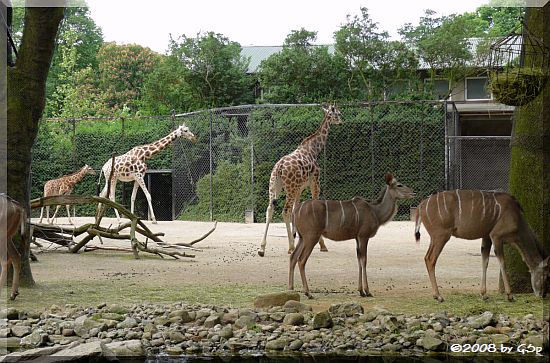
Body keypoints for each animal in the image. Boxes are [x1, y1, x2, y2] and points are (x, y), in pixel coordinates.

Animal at [258, 104, 342, 258]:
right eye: (338, 113)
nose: (341, 121)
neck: (314, 150)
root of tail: (279, 167)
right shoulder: (315, 182)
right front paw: (322, 245)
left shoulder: (299, 188)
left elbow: (295, 210)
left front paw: (297, 237)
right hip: (289, 188)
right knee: (284, 211)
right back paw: (290, 247)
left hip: (274, 186)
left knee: (270, 209)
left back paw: (262, 249)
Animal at [418, 191, 550, 304]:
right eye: (547, 276)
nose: (543, 294)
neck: (517, 218)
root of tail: (421, 206)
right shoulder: (496, 236)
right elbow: (502, 263)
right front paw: (510, 295)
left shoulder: (487, 237)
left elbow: (485, 261)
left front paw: (484, 295)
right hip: (441, 236)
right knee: (430, 259)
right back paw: (438, 296)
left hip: (435, 238)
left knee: (426, 257)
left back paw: (437, 295)